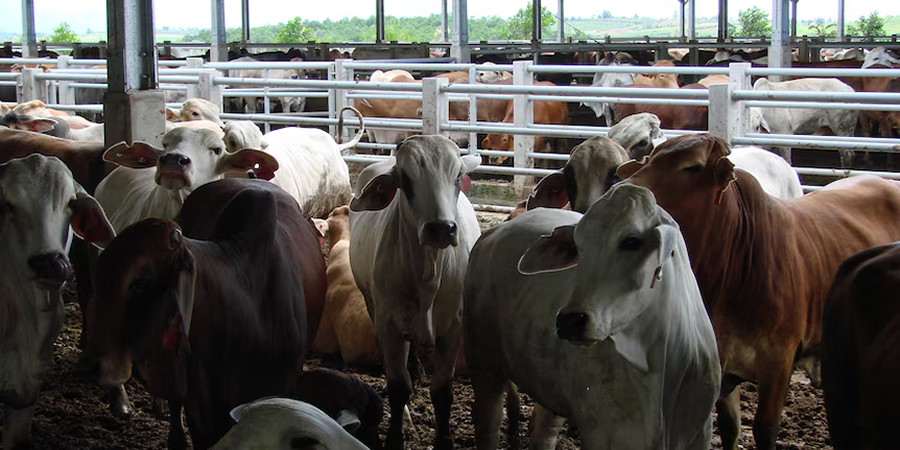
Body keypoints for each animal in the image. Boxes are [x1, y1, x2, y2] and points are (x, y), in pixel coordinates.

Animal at [349, 135, 481, 450]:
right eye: (405, 179)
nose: (441, 229)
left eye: (457, 176)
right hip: (373, 304)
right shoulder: (388, 323)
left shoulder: (454, 327)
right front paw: (396, 437)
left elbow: (442, 391)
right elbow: (398, 386)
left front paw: (444, 441)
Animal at [464, 183, 721, 450]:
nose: (570, 321)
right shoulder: (602, 433)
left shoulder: (700, 434)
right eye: (578, 247)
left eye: (631, 241)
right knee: (488, 421)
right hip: (483, 359)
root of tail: (494, 231)